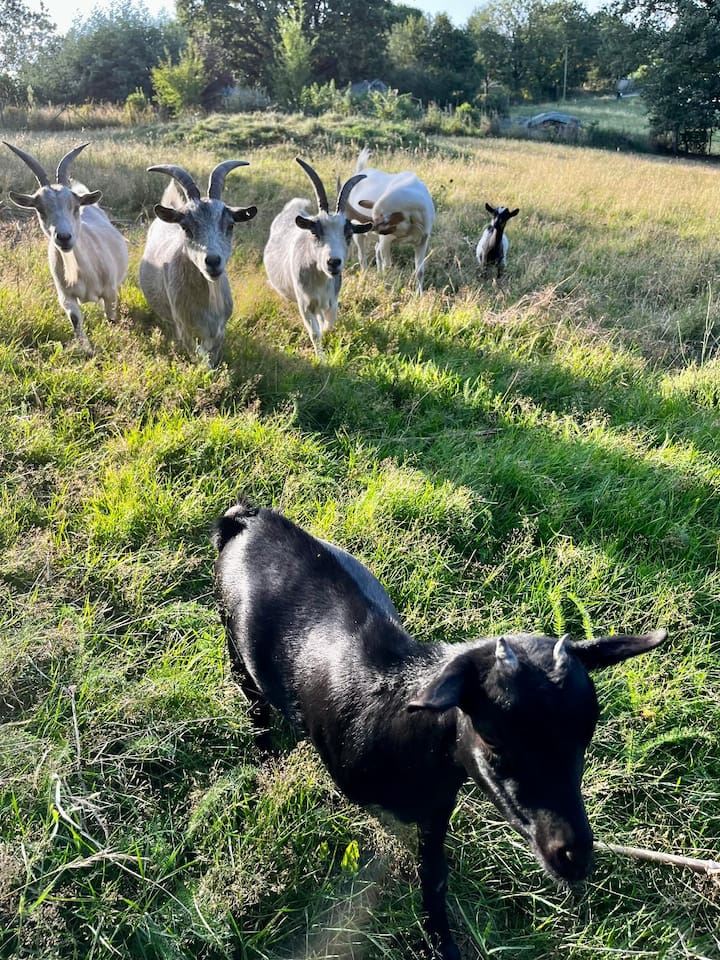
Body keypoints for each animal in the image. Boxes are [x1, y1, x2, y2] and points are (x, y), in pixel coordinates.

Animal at [4, 141, 129, 354]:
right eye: (40, 209)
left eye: (75, 206)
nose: (63, 237)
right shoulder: (65, 296)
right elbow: (75, 320)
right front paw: (87, 349)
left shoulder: (110, 292)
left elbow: (111, 316)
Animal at [139, 160, 257, 367]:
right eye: (186, 228)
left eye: (230, 225)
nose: (213, 261)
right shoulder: (184, 328)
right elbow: (197, 356)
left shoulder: (220, 330)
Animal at [213, 502, 666, 960]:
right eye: (492, 736)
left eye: (586, 734)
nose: (573, 856)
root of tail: (250, 517)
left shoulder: (437, 810)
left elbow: (434, 878)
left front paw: (442, 943)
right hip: (234, 643)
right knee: (254, 702)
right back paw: (266, 758)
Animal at [263, 157, 372, 357]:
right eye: (315, 231)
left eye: (349, 234)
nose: (333, 262)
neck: (321, 278)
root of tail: (293, 207)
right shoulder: (305, 305)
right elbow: (315, 333)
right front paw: (321, 358)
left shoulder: (332, 301)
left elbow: (328, 324)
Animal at [346, 146, 435, 294]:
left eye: (386, 220)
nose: (373, 228)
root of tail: (360, 171)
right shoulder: (386, 241)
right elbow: (388, 266)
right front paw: (387, 288)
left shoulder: (422, 241)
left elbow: (419, 271)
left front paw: (419, 295)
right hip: (360, 238)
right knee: (362, 257)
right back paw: (364, 279)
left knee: (376, 251)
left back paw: (378, 274)